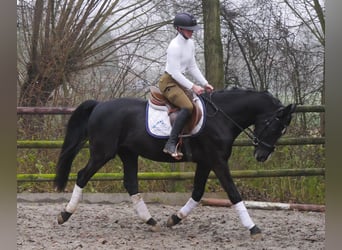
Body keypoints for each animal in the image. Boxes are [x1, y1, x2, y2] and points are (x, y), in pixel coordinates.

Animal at [54, 88, 296, 238]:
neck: (222, 118)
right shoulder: (217, 161)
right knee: (82, 176)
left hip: (128, 154)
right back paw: (65, 214)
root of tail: (99, 105)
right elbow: (233, 193)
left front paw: (174, 219)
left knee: (131, 184)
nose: (262, 156)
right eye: (276, 126)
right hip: (102, 153)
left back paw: (151, 222)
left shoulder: (206, 162)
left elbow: (197, 193)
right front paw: (253, 228)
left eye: (283, 130)